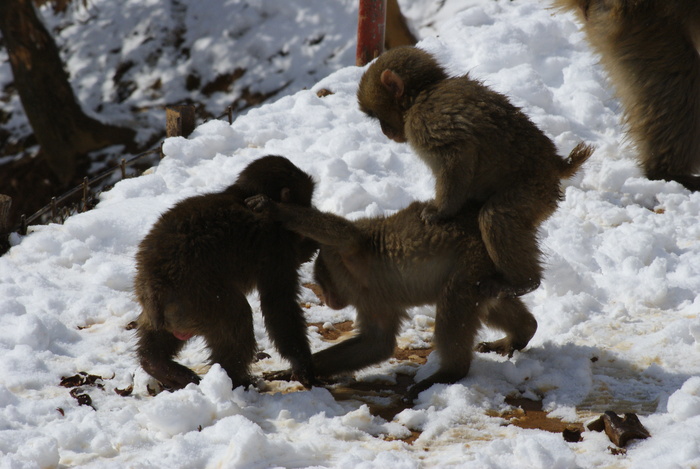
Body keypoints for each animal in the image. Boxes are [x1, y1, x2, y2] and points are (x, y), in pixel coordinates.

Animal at [133, 155, 318, 390]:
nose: (309, 210)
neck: (240, 196)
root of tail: (155, 288)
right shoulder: (275, 245)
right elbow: (278, 304)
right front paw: (303, 365)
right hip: (201, 301)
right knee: (237, 316)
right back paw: (235, 379)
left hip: (171, 309)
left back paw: (156, 364)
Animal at [245, 144, 584, 400]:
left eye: (322, 282)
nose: (328, 299)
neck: (353, 279)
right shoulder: (371, 299)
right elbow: (377, 343)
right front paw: (297, 370)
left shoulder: (345, 252)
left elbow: (345, 234)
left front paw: (274, 209)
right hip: (488, 266)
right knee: (488, 299)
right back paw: (523, 331)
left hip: (474, 258)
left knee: (455, 298)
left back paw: (451, 372)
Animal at [356, 45, 592, 298]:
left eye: (377, 116)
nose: (384, 131)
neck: (422, 93)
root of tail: (555, 163)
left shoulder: (426, 122)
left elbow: (457, 156)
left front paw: (440, 212)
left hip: (533, 191)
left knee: (495, 217)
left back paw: (523, 282)